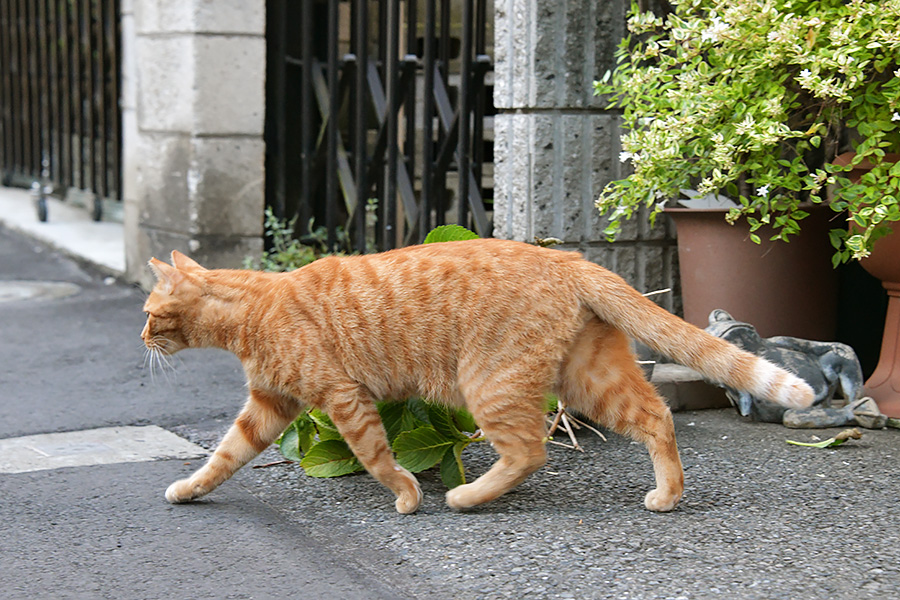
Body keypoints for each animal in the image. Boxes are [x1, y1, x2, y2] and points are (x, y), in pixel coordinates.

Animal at [142, 241, 816, 512]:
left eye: (149, 313)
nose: (141, 338)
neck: (253, 309)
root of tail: (566, 257)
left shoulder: (342, 398)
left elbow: (377, 458)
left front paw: (407, 496)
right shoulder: (269, 407)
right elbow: (223, 456)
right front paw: (190, 490)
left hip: (489, 386)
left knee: (530, 451)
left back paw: (465, 497)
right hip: (591, 378)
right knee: (655, 415)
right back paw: (668, 495)